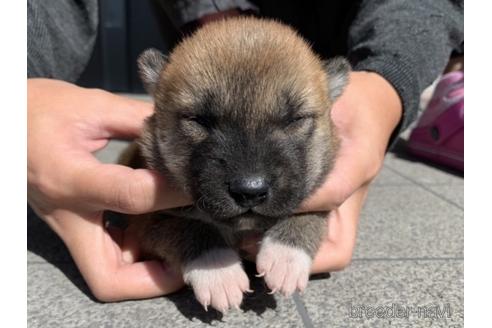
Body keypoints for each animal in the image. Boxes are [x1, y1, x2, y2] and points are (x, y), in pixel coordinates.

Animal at [127, 16, 350, 312]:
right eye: (199, 120)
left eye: (295, 119)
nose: (250, 191)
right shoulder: (145, 219)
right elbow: (188, 226)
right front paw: (218, 271)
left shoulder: (320, 197)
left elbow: (309, 213)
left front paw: (286, 257)